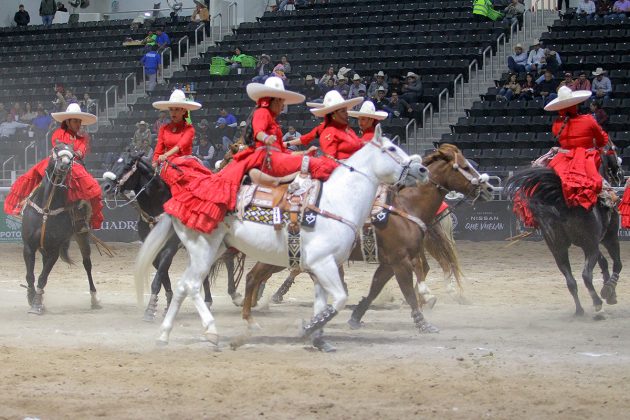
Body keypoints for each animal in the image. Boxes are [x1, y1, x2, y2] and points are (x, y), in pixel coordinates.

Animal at [21, 143, 101, 314]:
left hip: (81, 235)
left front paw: (36, 304)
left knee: (87, 264)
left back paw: (95, 299)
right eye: (56, 149)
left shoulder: (54, 250)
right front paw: (32, 298)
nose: (64, 165)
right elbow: (30, 276)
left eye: (72, 155)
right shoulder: (29, 246)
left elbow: (43, 277)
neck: (46, 208)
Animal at [100, 152, 244, 322]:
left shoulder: (171, 246)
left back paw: (234, 295)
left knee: (228, 261)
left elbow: (160, 275)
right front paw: (168, 304)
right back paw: (208, 301)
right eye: (113, 162)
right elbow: (163, 275)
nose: (106, 186)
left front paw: (150, 309)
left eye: (128, 165)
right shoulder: (152, 246)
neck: (157, 207)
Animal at [133, 126, 430, 350]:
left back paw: (164, 334)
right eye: (391, 149)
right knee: (193, 285)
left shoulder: (323, 267)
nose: (423, 169)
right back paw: (212, 331)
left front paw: (319, 339)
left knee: (183, 285)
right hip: (203, 249)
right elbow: (339, 300)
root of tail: (177, 200)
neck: (336, 202)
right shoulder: (324, 264)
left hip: (209, 251)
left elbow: (324, 303)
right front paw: (307, 329)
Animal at [239, 144, 496, 334]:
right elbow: (406, 291)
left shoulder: (391, 262)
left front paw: (356, 315)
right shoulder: (400, 261)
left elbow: (375, 288)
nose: (489, 188)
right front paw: (423, 323)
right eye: (464, 166)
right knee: (254, 276)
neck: (404, 207)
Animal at [506, 149, 624, 316]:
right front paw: (609, 291)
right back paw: (597, 304)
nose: (620, 174)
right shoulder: (608, 237)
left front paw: (610, 292)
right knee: (586, 275)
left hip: (558, 250)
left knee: (571, 281)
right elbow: (617, 264)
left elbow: (604, 262)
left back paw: (580, 310)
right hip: (590, 246)